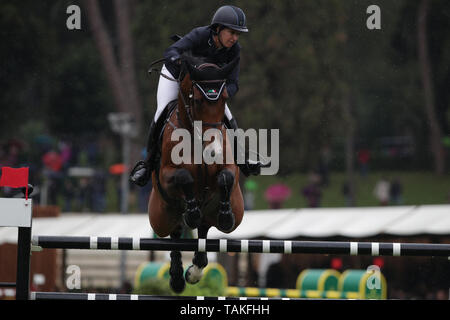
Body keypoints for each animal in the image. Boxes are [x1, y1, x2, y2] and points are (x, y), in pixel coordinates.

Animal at [149, 56, 244, 294]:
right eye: (199, 101)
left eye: (224, 99)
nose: (214, 151)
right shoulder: (165, 175)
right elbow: (184, 177)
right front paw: (191, 212)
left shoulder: (230, 167)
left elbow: (226, 177)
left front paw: (225, 216)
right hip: (160, 219)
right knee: (175, 233)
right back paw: (177, 278)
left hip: (233, 211)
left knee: (204, 229)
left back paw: (194, 271)